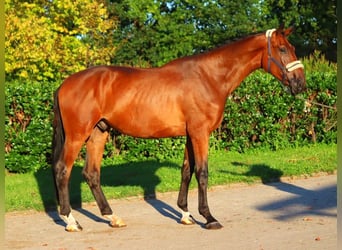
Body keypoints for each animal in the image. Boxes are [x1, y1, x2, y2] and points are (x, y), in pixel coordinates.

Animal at [52, 26, 304, 231]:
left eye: (292, 47)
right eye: (282, 49)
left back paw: (112, 217)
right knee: (63, 170)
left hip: (98, 133)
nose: (300, 83)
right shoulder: (200, 133)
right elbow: (202, 172)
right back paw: (71, 221)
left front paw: (185, 214)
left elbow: (186, 171)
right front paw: (209, 217)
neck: (209, 77)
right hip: (77, 136)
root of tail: (64, 84)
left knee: (91, 174)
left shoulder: (190, 135)